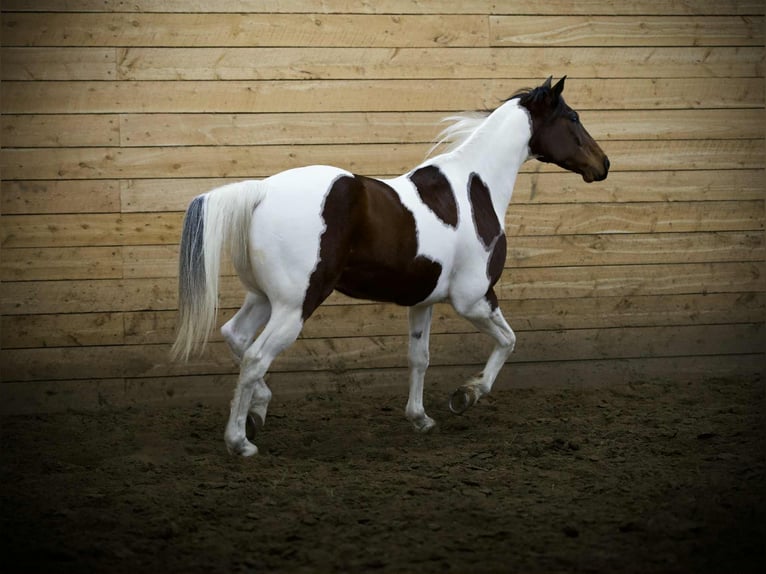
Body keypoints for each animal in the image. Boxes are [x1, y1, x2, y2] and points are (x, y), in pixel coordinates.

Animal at [171, 76, 609, 456]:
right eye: (573, 118)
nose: (603, 164)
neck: (474, 189)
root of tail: (261, 191)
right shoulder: (474, 299)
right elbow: (508, 341)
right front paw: (465, 395)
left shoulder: (423, 301)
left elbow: (420, 358)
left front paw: (421, 418)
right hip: (295, 306)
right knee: (254, 358)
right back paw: (240, 442)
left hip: (264, 298)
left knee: (236, 336)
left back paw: (258, 410)